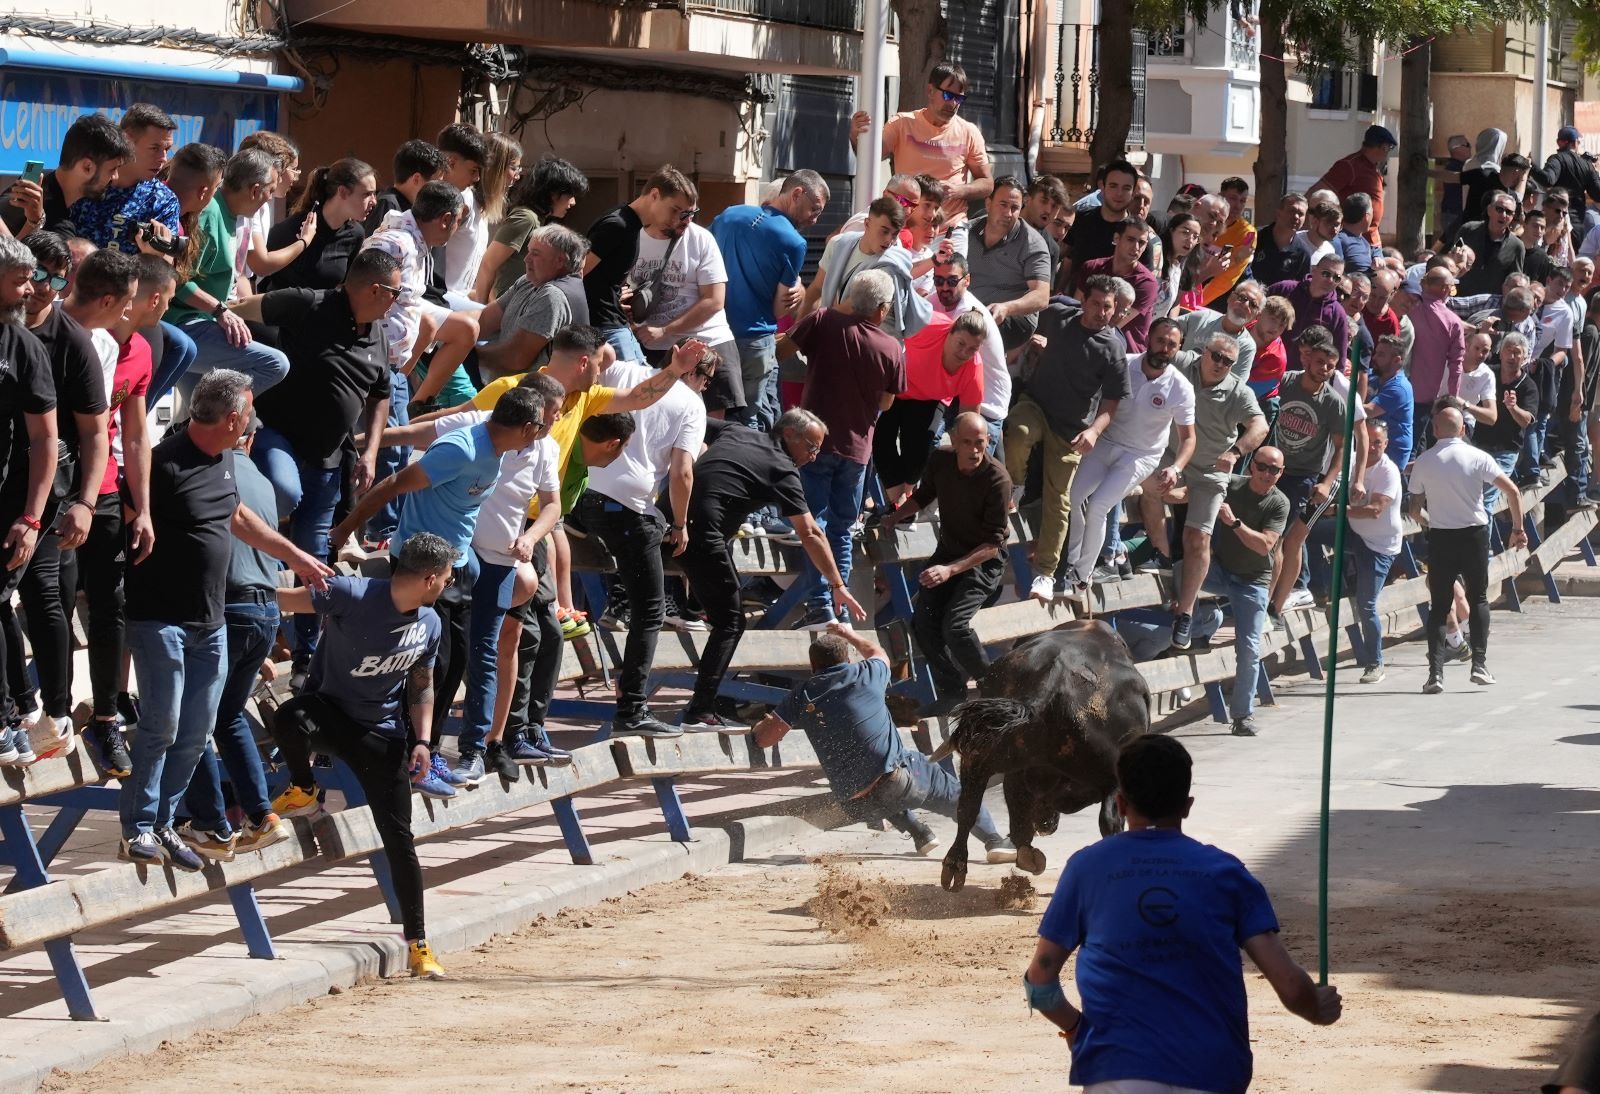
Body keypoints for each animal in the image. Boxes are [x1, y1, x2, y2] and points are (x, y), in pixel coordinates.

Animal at [928, 620, 1152, 895]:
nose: (1046, 824)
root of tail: (1049, 681)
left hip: (980, 755)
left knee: (968, 806)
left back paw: (956, 866)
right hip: (1111, 775)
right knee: (1109, 821)